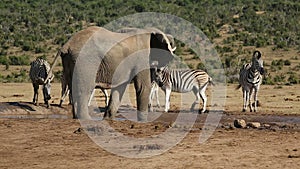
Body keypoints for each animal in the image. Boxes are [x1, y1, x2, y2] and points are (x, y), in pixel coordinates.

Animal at [47, 26, 176, 120]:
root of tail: (66, 45)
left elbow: (120, 88)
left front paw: (109, 118)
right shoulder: (142, 57)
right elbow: (143, 86)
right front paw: (144, 121)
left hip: (69, 61)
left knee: (72, 86)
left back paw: (77, 118)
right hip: (85, 61)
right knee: (84, 89)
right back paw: (86, 119)